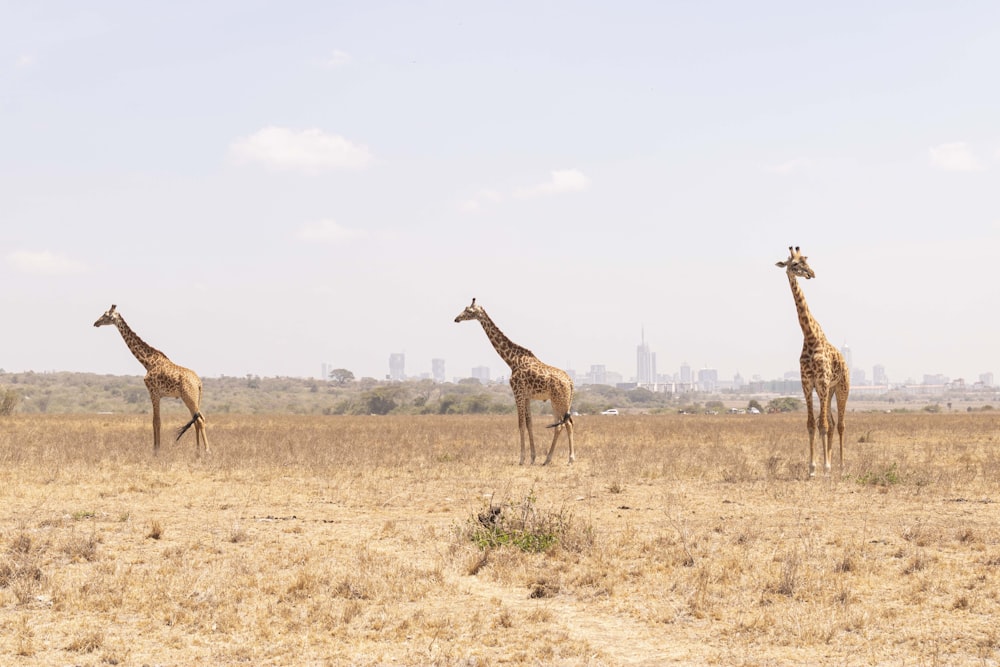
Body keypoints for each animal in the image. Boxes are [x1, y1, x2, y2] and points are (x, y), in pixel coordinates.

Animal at [95, 306, 209, 456]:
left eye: (106, 315)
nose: (95, 323)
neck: (147, 362)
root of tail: (199, 383)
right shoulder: (157, 394)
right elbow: (156, 420)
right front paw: (156, 449)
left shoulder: (153, 392)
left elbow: (156, 421)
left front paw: (156, 450)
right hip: (195, 399)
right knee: (197, 420)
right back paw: (197, 451)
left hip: (189, 397)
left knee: (200, 420)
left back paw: (207, 451)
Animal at [456, 300, 580, 468]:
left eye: (468, 311)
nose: (456, 318)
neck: (512, 360)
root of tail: (571, 382)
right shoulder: (526, 396)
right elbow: (529, 423)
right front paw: (533, 457)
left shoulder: (518, 393)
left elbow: (520, 424)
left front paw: (521, 459)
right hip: (560, 401)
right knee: (561, 424)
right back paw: (547, 459)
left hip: (559, 400)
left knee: (567, 424)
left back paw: (570, 459)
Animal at [776, 248, 848, 478]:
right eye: (794, 264)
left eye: (806, 261)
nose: (812, 273)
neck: (809, 336)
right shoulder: (808, 384)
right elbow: (811, 424)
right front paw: (813, 468)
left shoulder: (822, 382)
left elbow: (822, 425)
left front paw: (825, 468)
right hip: (829, 390)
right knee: (832, 422)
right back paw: (832, 464)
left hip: (841, 388)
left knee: (840, 424)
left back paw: (841, 467)